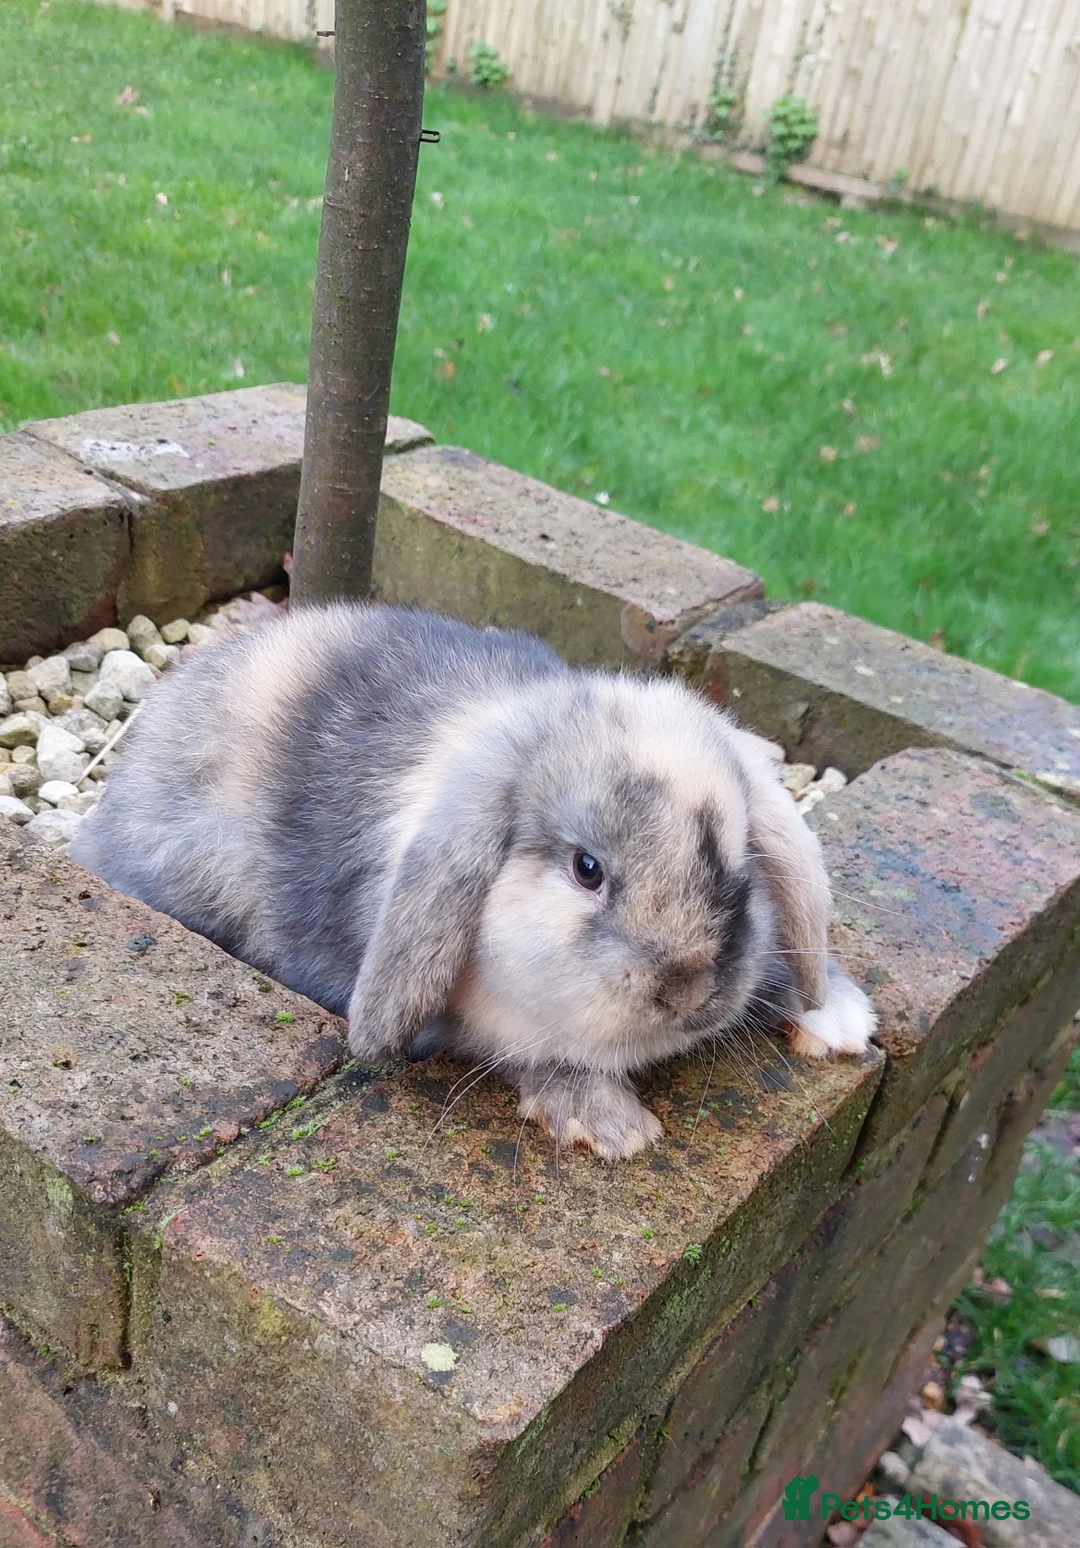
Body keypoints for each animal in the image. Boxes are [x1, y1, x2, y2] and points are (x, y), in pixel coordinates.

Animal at [69, 602, 875, 1161]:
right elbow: (534, 1055)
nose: (688, 990)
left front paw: (839, 1019)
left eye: (738, 867)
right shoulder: (482, 1024)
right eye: (587, 869)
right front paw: (612, 1127)